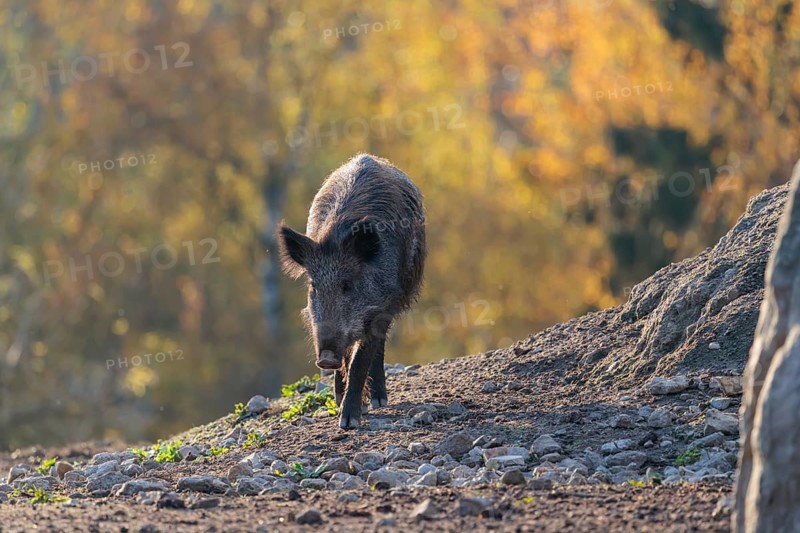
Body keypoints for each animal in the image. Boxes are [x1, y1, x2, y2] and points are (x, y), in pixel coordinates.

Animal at [277, 153, 426, 429]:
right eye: (313, 286)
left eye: (348, 284)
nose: (326, 357)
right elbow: (347, 357)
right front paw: (343, 407)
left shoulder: (381, 308)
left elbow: (360, 359)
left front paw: (349, 422)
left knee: (378, 347)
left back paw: (379, 401)